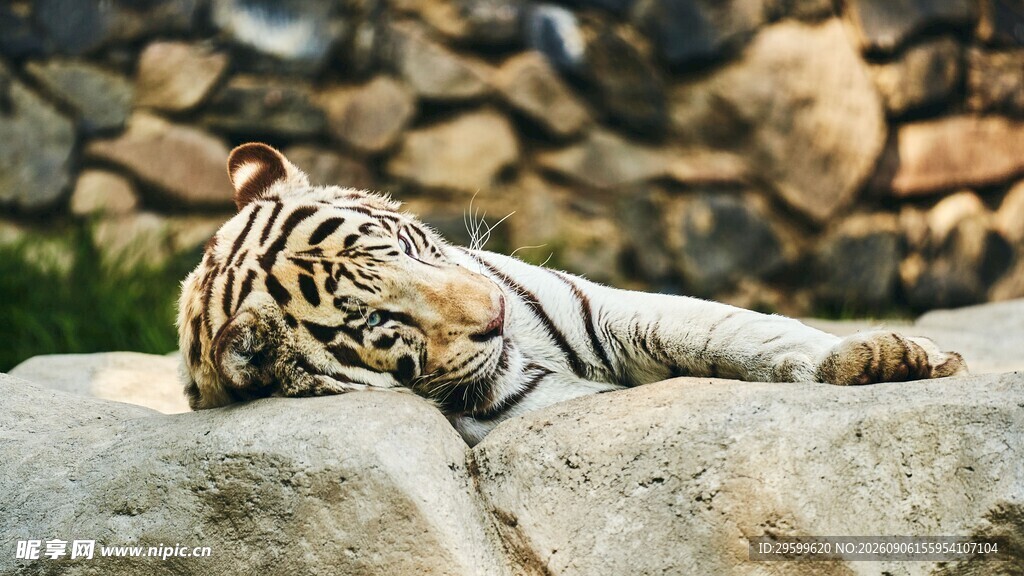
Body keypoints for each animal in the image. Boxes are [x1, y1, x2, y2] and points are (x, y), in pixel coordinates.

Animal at [178, 143, 968, 446]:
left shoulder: (610, 309)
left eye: (405, 241)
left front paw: (889, 356)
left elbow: (737, 331)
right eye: (381, 319)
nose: (494, 313)